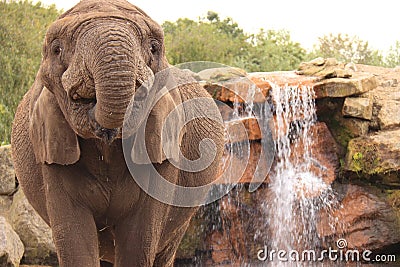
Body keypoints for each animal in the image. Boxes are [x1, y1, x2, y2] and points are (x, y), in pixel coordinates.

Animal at [10, 1, 225, 266]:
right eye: (57, 49)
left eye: (154, 48)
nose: (106, 129)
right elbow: (75, 240)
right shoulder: (50, 154)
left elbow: (138, 242)